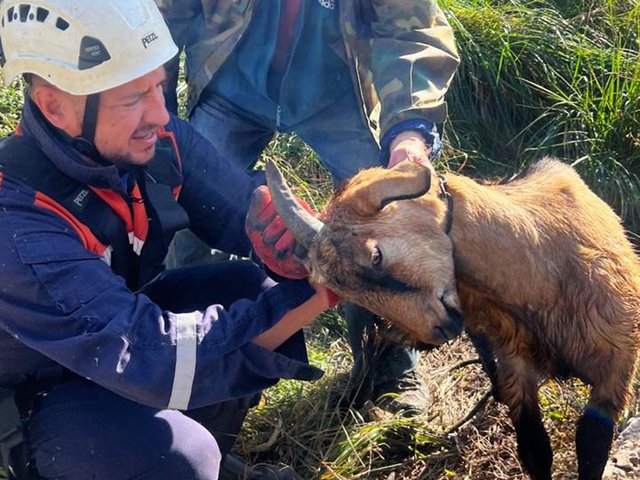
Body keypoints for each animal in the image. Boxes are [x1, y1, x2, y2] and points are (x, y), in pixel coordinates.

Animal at [264, 159, 640, 480]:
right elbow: (535, 449)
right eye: (349, 295)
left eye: (376, 255)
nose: (438, 328)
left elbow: (591, 448)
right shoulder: (516, 364)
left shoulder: (615, 371)